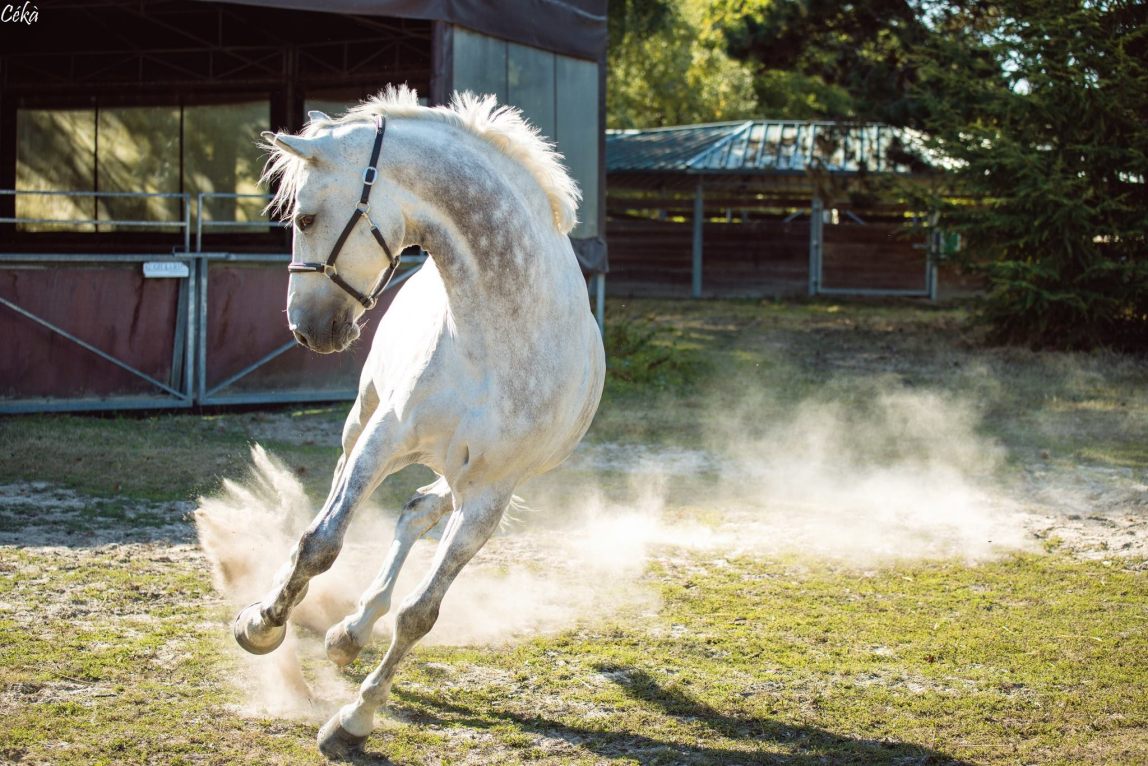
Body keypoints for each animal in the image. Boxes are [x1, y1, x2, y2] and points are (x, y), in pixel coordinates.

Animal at [235, 86, 610, 757]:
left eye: (305, 219)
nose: (305, 327)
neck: (499, 332)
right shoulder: (387, 438)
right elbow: (321, 542)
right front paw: (261, 625)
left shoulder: (489, 496)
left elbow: (420, 613)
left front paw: (355, 720)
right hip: (364, 423)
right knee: (341, 493)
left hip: (456, 482)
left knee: (415, 513)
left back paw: (352, 633)